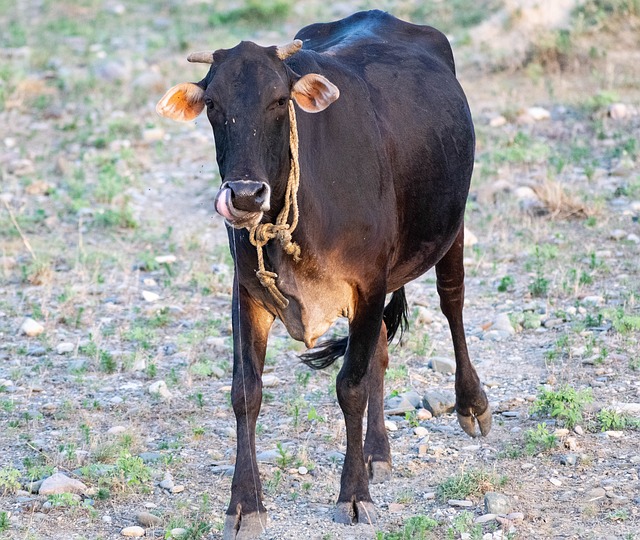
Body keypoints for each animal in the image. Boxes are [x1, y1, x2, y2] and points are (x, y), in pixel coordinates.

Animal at [158, 9, 492, 540]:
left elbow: (349, 387)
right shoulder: (246, 292)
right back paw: (378, 452)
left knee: (452, 301)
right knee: (380, 350)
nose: (246, 195)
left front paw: (353, 495)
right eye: (212, 103)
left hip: (451, 226)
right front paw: (244, 505)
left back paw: (471, 405)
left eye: (280, 100)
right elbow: (245, 392)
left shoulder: (368, 284)